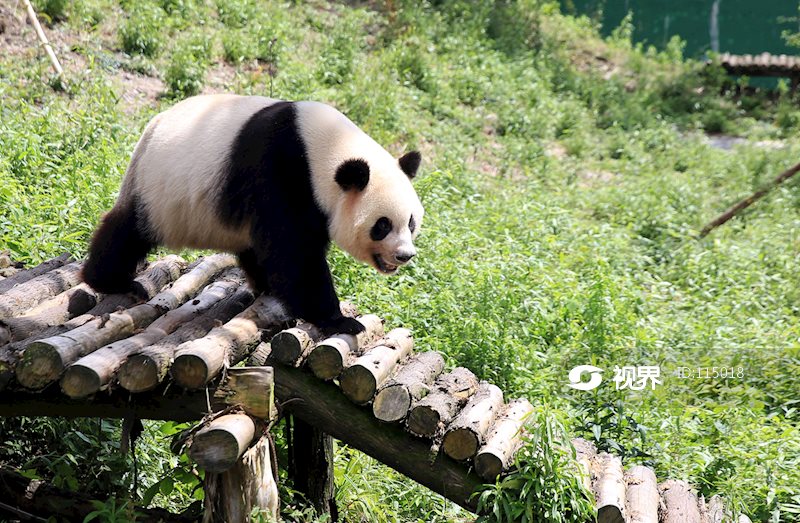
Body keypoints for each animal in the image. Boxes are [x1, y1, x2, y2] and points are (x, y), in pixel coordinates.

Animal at [83, 95, 424, 336]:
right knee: (129, 230)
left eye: (411, 223)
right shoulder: (283, 171)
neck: (323, 148)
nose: (405, 255)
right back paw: (113, 281)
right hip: (161, 188)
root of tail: (152, 125)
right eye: (382, 225)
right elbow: (295, 253)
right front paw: (339, 321)